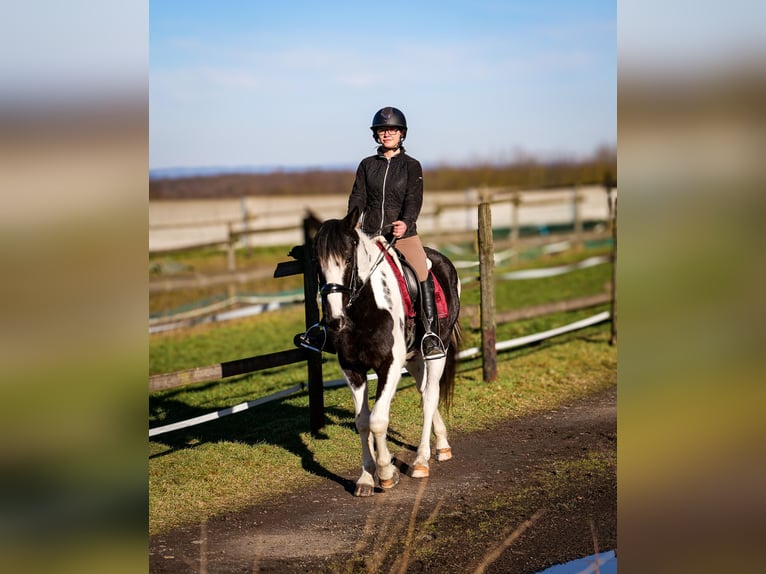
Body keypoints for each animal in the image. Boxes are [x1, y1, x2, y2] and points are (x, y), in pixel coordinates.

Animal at [310, 208, 462, 500]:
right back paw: (443, 445)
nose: (334, 320)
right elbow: (362, 422)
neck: (364, 312)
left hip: (438, 351)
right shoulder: (352, 369)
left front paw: (386, 473)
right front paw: (366, 478)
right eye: (317, 263)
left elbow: (378, 420)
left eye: (348, 259)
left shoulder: (390, 365)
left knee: (430, 396)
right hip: (414, 359)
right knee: (424, 392)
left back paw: (421, 462)